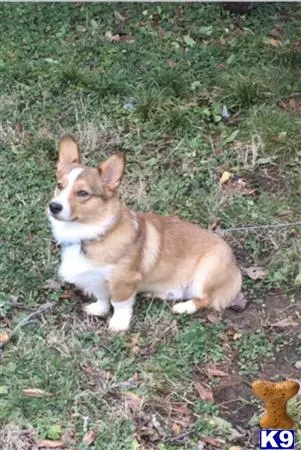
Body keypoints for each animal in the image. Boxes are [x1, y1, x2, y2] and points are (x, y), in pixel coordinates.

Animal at [48, 135, 241, 332]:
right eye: (59, 185)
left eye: (82, 193)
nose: (53, 206)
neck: (91, 234)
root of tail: (235, 267)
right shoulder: (96, 280)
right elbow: (102, 298)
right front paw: (99, 310)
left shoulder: (124, 280)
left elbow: (119, 303)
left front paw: (118, 323)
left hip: (207, 272)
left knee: (206, 299)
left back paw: (184, 307)